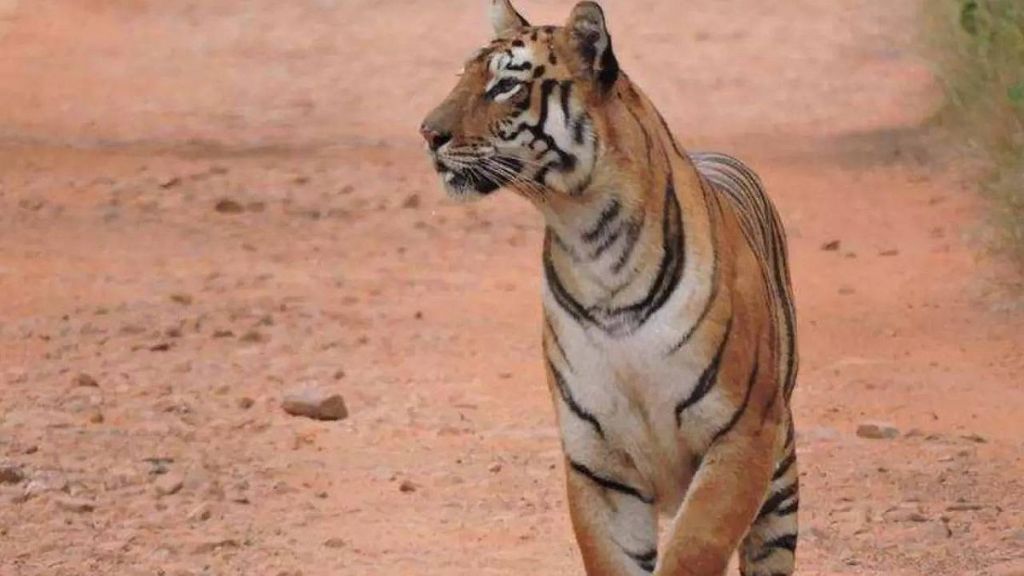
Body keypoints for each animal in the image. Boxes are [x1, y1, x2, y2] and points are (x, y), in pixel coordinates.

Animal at [419, 2, 800, 575]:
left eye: (506, 85)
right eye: (462, 76)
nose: (427, 134)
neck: (594, 242)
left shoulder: (742, 435)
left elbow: (692, 551)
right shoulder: (597, 461)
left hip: (779, 479)